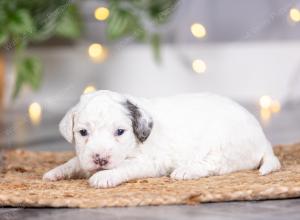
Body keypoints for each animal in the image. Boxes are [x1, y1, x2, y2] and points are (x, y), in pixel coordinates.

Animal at [42, 90, 282, 188]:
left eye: (120, 132)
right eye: (83, 133)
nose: (100, 159)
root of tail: (264, 140)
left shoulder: (147, 162)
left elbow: (123, 167)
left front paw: (105, 176)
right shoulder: (84, 157)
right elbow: (75, 161)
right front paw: (56, 172)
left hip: (224, 146)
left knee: (214, 165)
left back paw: (186, 171)